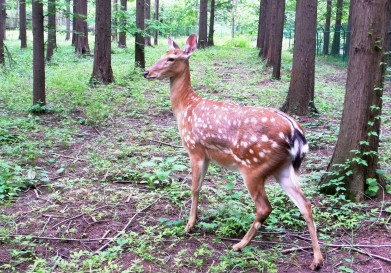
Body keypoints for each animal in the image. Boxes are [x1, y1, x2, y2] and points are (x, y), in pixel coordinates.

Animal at [144, 34, 324, 270]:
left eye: (172, 58)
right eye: (162, 54)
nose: (147, 72)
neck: (186, 108)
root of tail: (296, 132)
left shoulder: (194, 149)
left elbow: (194, 188)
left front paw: (189, 225)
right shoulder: (208, 155)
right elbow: (200, 187)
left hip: (254, 167)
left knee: (265, 207)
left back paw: (239, 245)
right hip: (283, 169)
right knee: (306, 205)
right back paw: (317, 260)